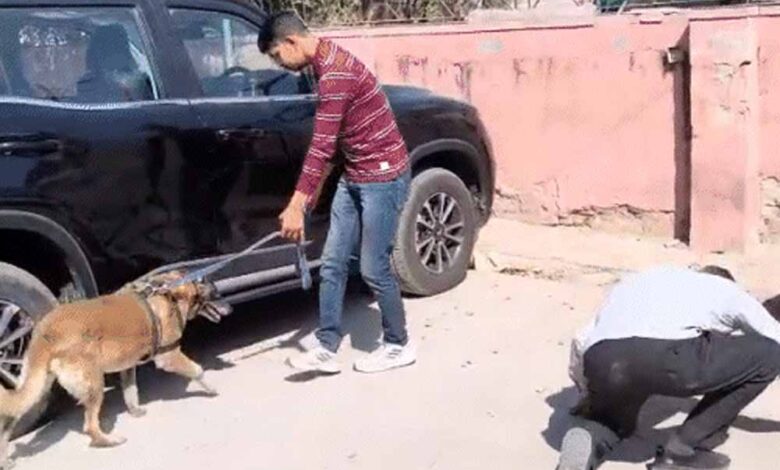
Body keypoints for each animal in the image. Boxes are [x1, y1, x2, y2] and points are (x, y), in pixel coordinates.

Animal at [0, 271, 231, 467]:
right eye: (216, 294)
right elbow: (198, 370)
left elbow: (130, 391)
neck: (173, 293)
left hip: (37, 384)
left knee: (9, 421)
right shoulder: (169, 356)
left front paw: (135, 410)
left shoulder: (128, 367)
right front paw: (211, 389)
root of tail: (44, 332)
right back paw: (109, 440)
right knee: (90, 426)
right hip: (93, 383)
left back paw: (5, 459)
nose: (230, 308)